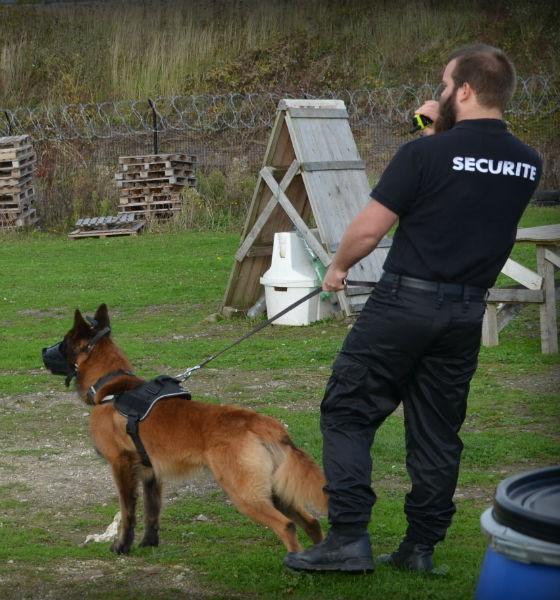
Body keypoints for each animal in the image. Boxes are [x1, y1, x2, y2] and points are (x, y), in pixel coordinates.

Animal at [48, 302, 328, 556]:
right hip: (275, 491)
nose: (43, 349)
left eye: (63, 342)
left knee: (287, 526)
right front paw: (148, 544)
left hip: (246, 494)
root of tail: (259, 422)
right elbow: (152, 512)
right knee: (312, 523)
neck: (113, 387)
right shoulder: (151, 474)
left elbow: (128, 513)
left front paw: (122, 547)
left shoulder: (121, 466)